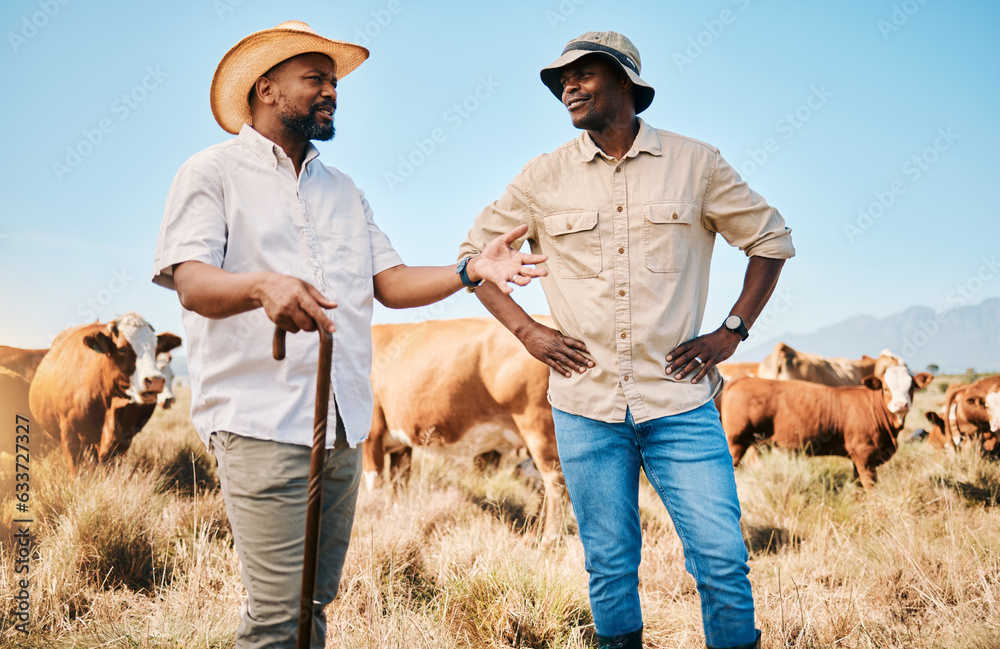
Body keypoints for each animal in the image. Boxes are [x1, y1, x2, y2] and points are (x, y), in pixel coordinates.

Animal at [28, 312, 179, 474]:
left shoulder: (124, 436)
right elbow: (76, 470)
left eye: (156, 349)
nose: (155, 380)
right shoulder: (70, 434)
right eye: (122, 349)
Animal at [366, 318, 568, 540]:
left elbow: (374, 483)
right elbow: (399, 483)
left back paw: (548, 538)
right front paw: (396, 512)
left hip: (538, 430)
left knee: (555, 482)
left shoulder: (371, 436)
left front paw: (374, 514)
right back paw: (533, 532)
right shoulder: (400, 444)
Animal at [724, 364, 932, 486]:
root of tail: (743, 379)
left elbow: (858, 484)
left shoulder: (857, 457)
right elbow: (870, 486)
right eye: (886, 388)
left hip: (758, 444)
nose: (901, 405)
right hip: (735, 443)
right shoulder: (864, 454)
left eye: (911, 387)